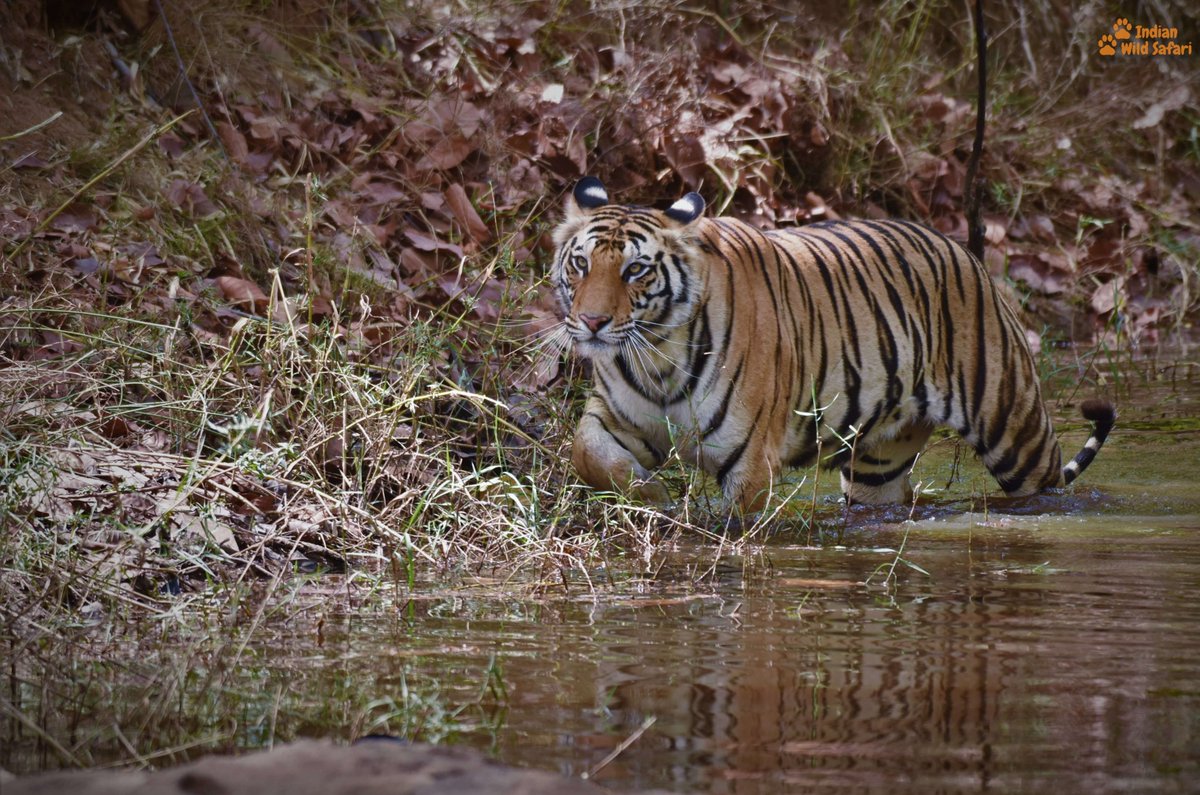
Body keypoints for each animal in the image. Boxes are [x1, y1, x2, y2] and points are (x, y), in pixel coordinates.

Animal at [549, 176, 1115, 514]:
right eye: (581, 264)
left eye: (635, 271)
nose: (592, 321)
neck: (657, 355)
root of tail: (964, 251)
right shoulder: (616, 416)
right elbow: (586, 451)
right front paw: (649, 492)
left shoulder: (749, 462)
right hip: (878, 467)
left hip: (1012, 426)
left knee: (1050, 485)